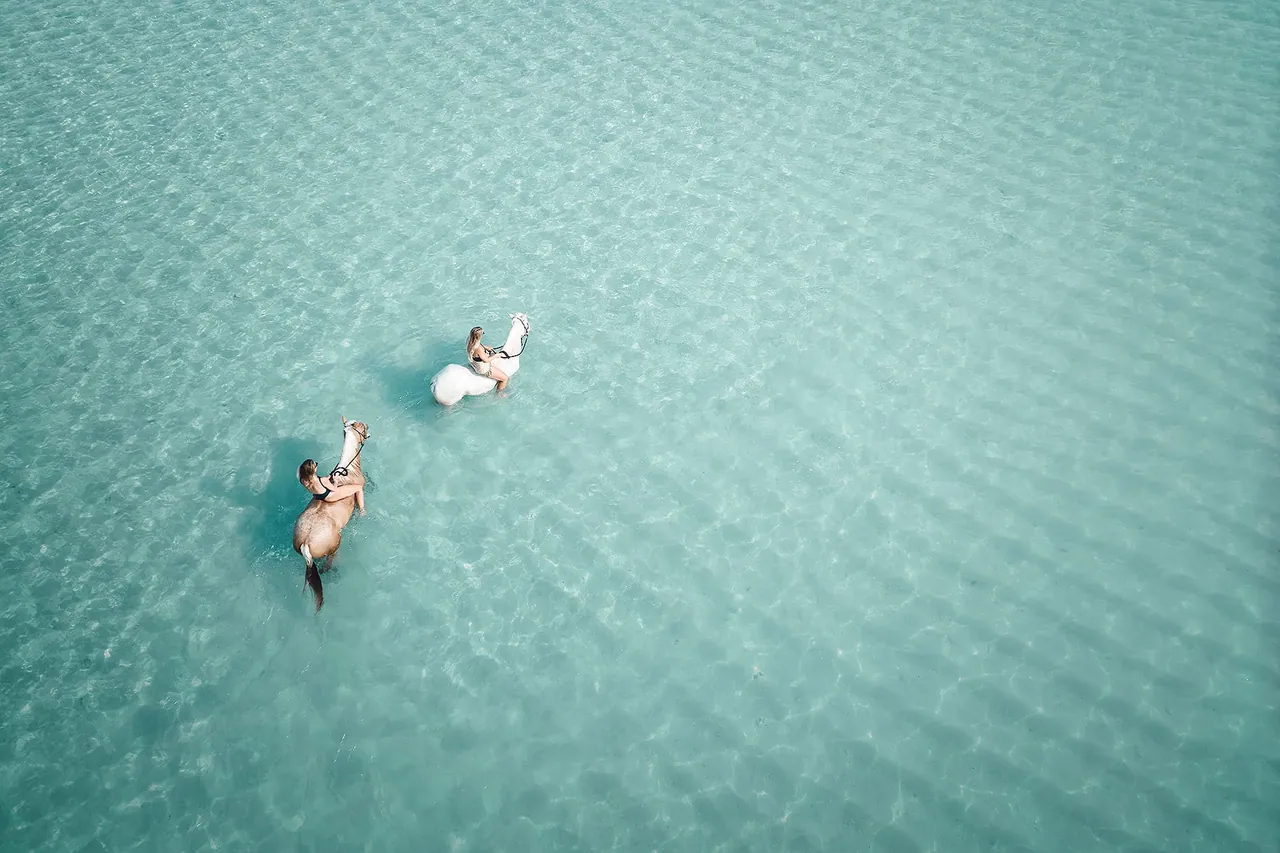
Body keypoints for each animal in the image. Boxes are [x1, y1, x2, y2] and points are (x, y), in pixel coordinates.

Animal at [292, 416, 369, 612]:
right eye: (363, 427)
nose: (369, 433)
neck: (348, 469)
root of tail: (305, 542)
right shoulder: (359, 491)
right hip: (334, 546)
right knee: (329, 562)